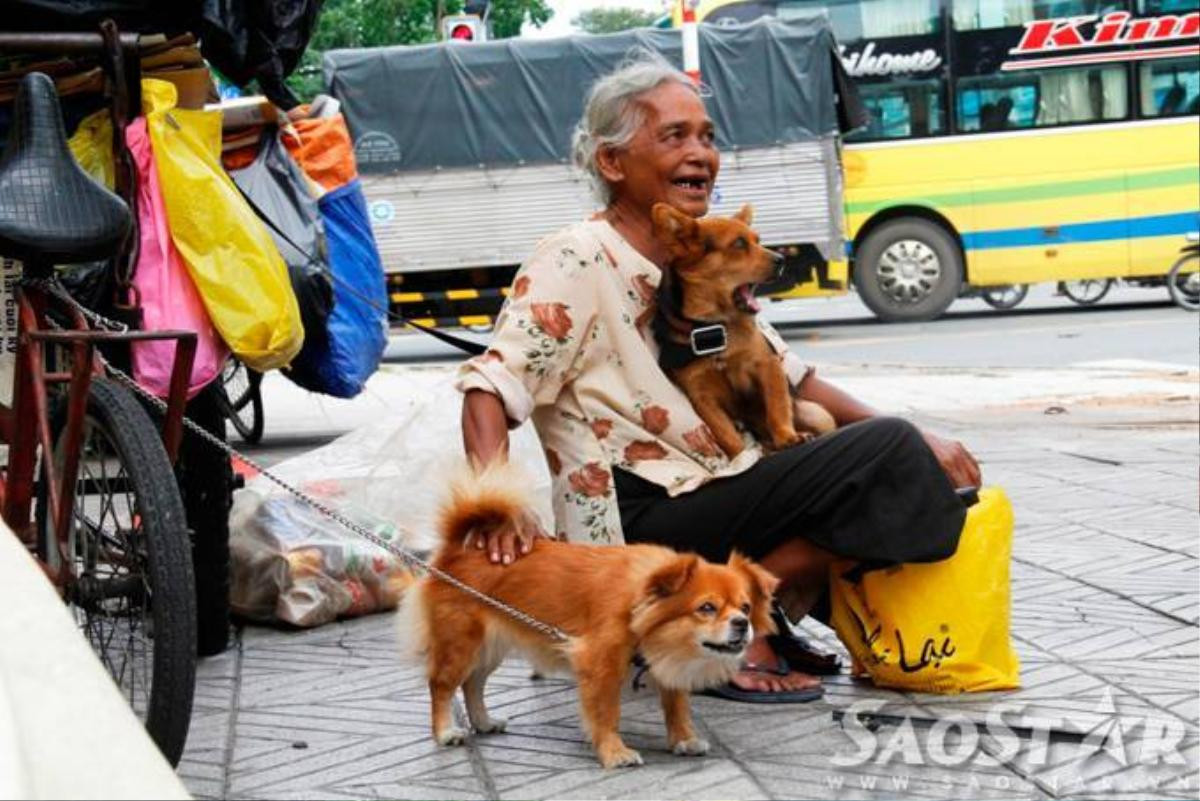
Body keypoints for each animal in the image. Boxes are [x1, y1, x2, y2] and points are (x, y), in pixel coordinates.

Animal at [396, 462, 777, 767]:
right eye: (706, 608)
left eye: (745, 607)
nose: (741, 624)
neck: (638, 603)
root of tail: (458, 549)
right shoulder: (600, 664)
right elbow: (605, 713)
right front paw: (614, 752)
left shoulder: (665, 667)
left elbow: (676, 707)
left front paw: (683, 739)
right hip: (462, 644)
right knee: (442, 685)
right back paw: (446, 731)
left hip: (491, 647)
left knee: (473, 684)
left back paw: (484, 722)